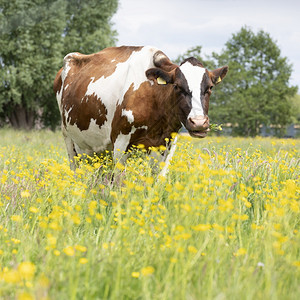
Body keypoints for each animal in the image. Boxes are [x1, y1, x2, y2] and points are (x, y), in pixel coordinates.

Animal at [53, 45, 227, 175]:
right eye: (177, 86)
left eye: (210, 87)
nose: (199, 123)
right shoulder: (120, 142)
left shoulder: (167, 145)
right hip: (71, 141)